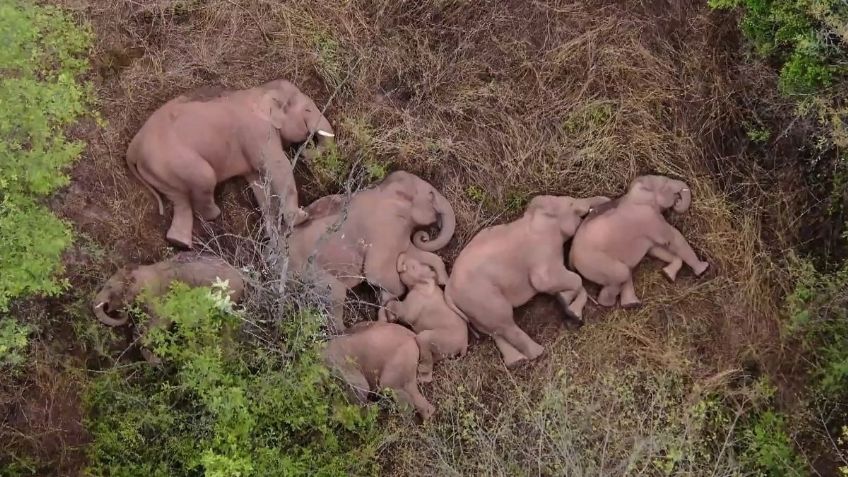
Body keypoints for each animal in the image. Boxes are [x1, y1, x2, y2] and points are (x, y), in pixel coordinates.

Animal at [127, 78, 336, 249]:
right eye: (307, 110)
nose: (304, 152)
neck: (260, 91)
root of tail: (134, 146)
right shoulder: (259, 132)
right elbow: (278, 167)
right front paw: (301, 218)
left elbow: (258, 182)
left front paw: (273, 235)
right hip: (176, 161)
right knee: (204, 180)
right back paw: (214, 214)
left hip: (161, 171)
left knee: (179, 200)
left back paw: (179, 243)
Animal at [286, 170, 458, 330]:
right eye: (431, 195)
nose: (424, 236)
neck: (383, 190)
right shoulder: (384, 229)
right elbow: (377, 274)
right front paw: (388, 310)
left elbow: (411, 253)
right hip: (308, 272)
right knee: (336, 294)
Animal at [386, 253, 470, 384]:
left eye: (413, 267)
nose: (402, 254)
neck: (426, 283)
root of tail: (464, 345)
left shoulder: (416, 299)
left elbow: (405, 314)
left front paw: (390, 318)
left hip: (442, 338)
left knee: (423, 340)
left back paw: (420, 375)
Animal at [568, 173, 708, 306]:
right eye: (665, 183)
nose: (677, 200)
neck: (633, 194)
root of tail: (571, 256)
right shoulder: (650, 218)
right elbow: (674, 238)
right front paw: (703, 269)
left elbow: (655, 249)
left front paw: (668, 275)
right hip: (595, 263)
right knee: (622, 274)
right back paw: (610, 303)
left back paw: (631, 304)